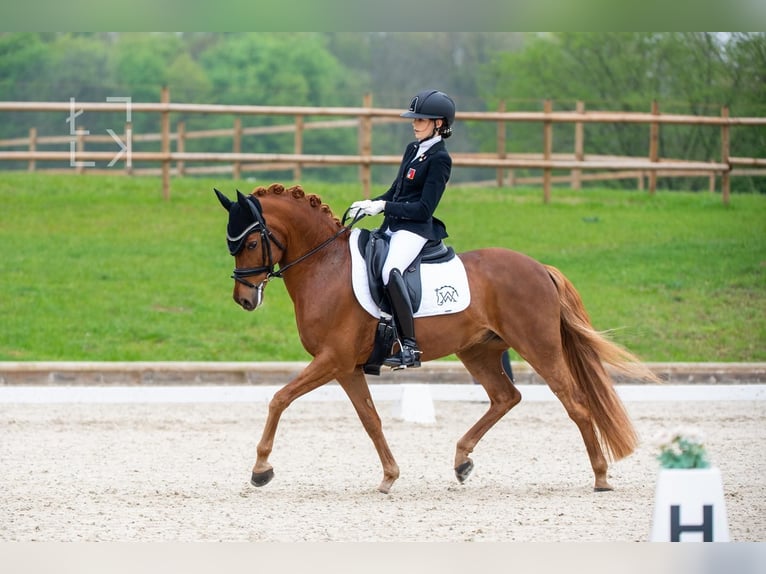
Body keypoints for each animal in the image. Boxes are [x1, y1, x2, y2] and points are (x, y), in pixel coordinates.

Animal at [216, 184, 660, 496]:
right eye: (231, 245)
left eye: (251, 242)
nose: (243, 300)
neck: (325, 265)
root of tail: (539, 267)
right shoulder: (346, 368)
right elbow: (371, 420)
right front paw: (389, 476)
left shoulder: (332, 360)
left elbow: (279, 399)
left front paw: (261, 470)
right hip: (478, 350)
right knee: (506, 397)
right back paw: (462, 460)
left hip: (539, 347)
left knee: (576, 404)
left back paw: (601, 477)